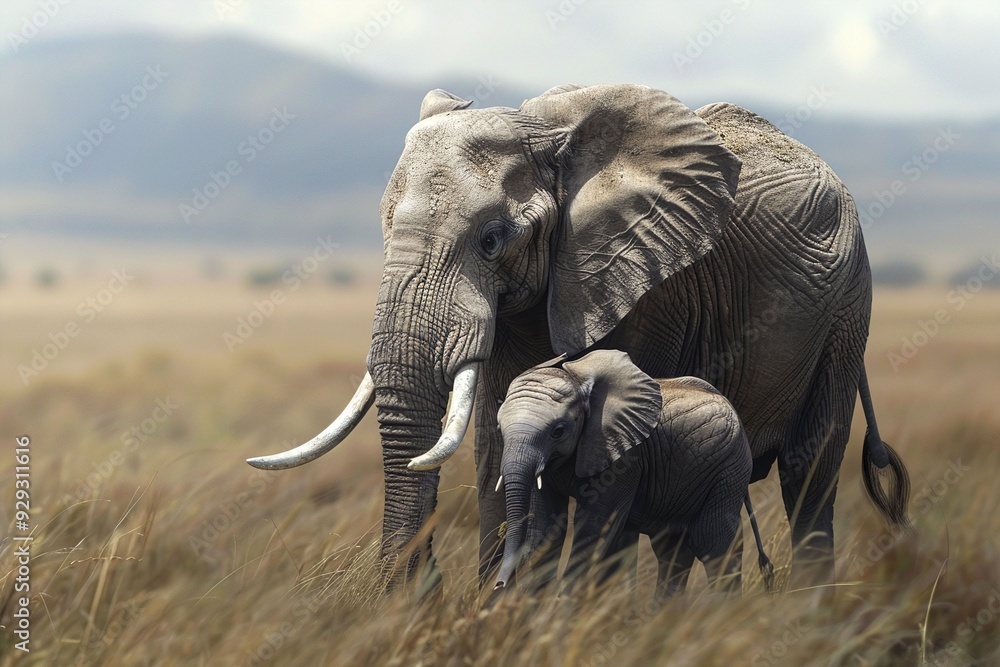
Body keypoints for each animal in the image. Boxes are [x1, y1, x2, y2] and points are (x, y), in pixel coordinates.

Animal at [493, 350, 775, 595]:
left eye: (558, 431)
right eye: (499, 428)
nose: (499, 585)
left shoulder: (625, 458)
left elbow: (594, 530)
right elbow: (543, 528)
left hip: (729, 470)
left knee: (713, 543)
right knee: (672, 551)